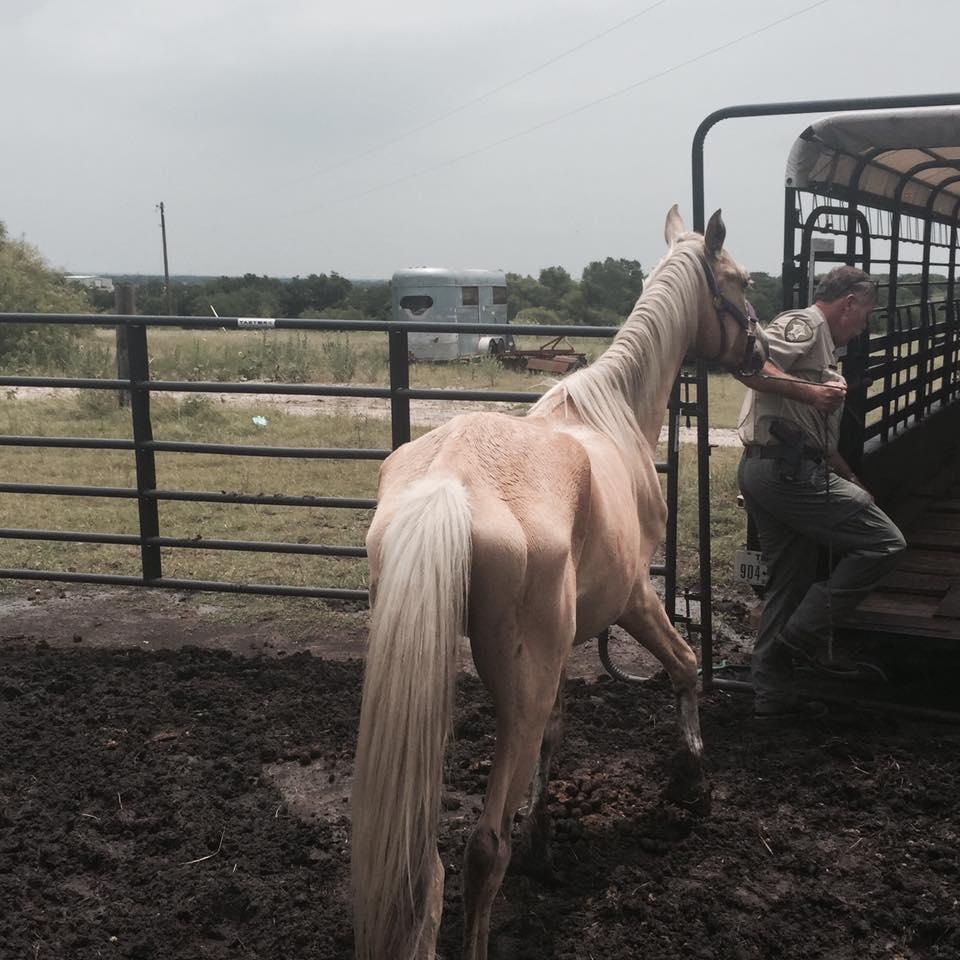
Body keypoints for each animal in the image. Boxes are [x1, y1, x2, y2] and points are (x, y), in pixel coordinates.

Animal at [350, 208, 764, 960]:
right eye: (741, 281)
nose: (760, 349)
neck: (612, 414)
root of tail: (448, 486)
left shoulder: (564, 649)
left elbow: (559, 733)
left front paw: (545, 843)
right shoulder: (633, 600)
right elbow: (686, 665)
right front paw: (691, 781)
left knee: (425, 865)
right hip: (522, 684)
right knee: (483, 849)